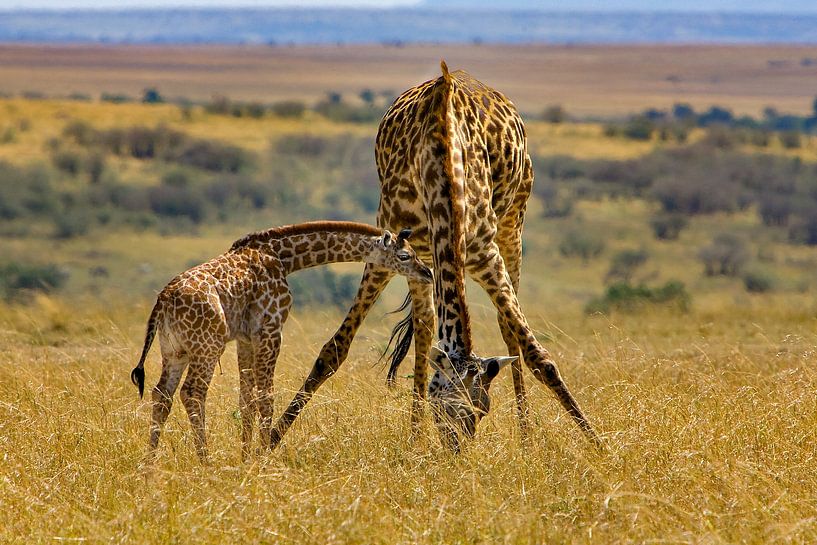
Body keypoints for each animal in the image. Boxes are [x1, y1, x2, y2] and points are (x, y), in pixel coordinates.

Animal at [130, 221, 432, 462]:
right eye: (405, 255)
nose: (427, 272)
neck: (283, 257)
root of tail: (163, 301)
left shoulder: (246, 338)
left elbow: (247, 399)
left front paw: (246, 458)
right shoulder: (272, 328)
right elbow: (266, 396)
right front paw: (262, 458)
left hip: (174, 351)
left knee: (161, 394)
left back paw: (149, 467)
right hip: (208, 346)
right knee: (192, 393)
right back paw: (206, 463)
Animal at [268, 62, 601, 452]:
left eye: (482, 411)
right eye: (448, 405)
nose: (457, 452)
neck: (441, 161)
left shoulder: (486, 256)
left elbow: (540, 357)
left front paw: (598, 445)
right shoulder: (385, 249)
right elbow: (335, 348)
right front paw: (269, 440)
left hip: (512, 226)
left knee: (506, 332)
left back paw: (525, 436)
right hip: (423, 259)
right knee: (425, 328)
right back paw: (415, 437)